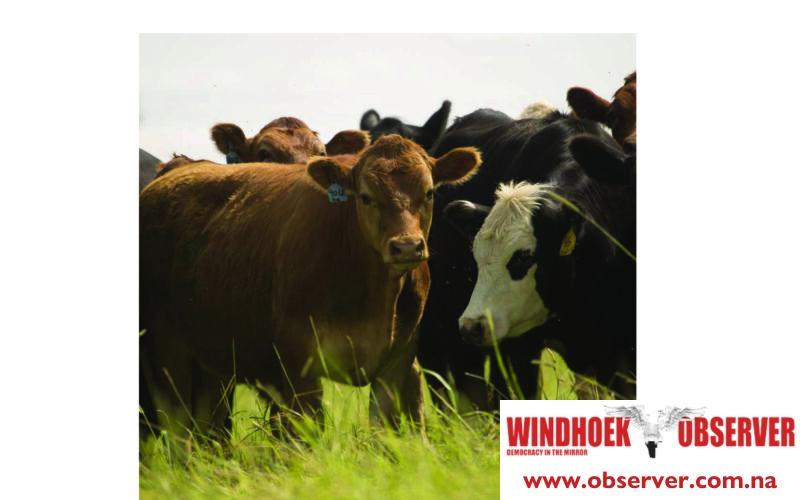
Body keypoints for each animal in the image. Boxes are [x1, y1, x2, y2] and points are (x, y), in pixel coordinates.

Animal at [139, 134, 481, 442]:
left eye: (429, 192)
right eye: (366, 196)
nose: (407, 246)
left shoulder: (399, 367)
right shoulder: (299, 368)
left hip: (212, 363)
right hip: (168, 355)